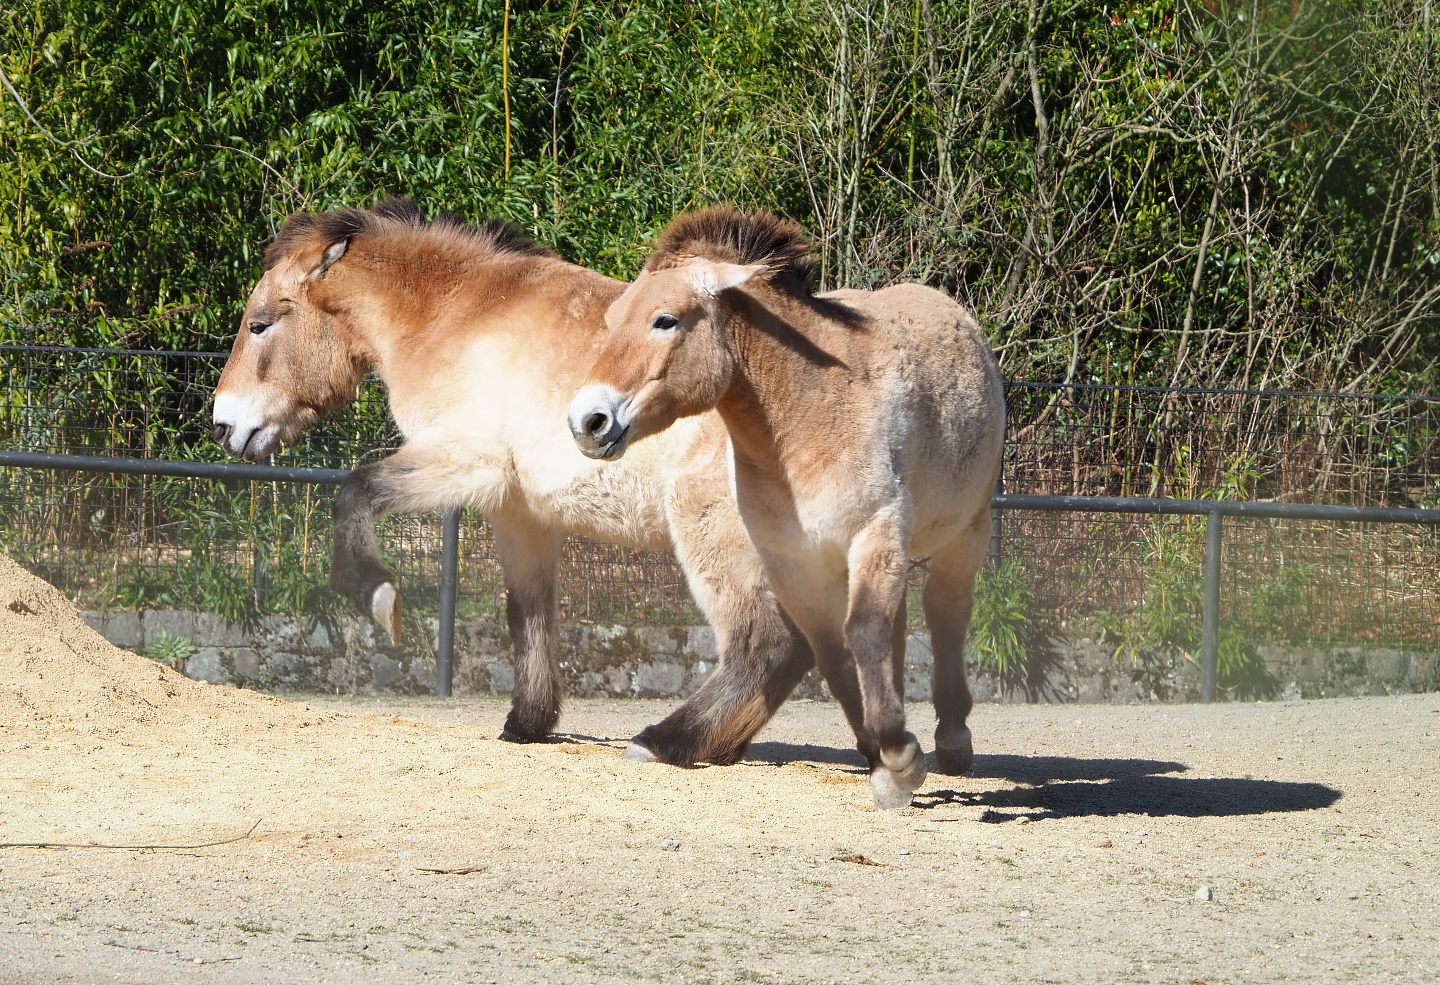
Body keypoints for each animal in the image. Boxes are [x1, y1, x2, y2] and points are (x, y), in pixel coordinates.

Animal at [211, 198, 818, 768]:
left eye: (260, 324)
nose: (222, 424)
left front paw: (378, 597)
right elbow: (528, 614)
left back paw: (667, 741)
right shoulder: (520, 514)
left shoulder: (468, 464)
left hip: (710, 537)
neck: (455, 316)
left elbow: (354, 491)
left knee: (764, 644)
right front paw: (527, 723)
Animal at [569, 206, 1005, 809]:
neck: (811, 413)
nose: (587, 421)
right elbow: (836, 654)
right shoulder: (793, 563)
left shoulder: (874, 532)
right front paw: (882, 755)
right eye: (612, 320)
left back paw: (953, 738)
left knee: (945, 614)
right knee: (896, 628)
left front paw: (899, 760)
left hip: (964, 532)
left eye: (665, 320)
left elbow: (863, 633)